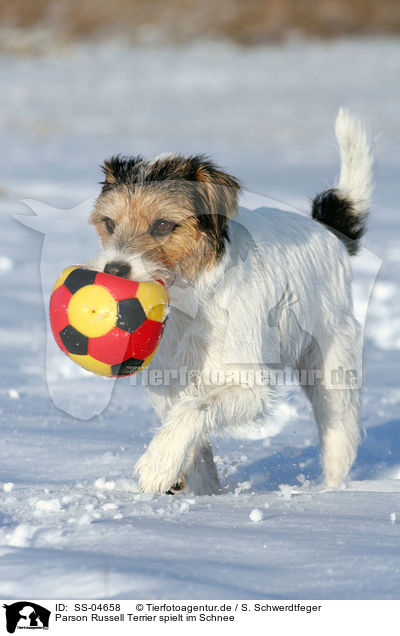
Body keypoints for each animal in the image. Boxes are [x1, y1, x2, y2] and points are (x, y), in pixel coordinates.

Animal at [86, 109, 372, 494]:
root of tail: (328, 232)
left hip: (332, 374)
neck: (190, 301)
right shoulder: (167, 383)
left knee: (339, 438)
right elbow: (192, 437)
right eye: (109, 222)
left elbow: (195, 409)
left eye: (162, 225)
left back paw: (331, 493)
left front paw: (158, 465)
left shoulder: (249, 387)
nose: (115, 269)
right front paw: (200, 489)